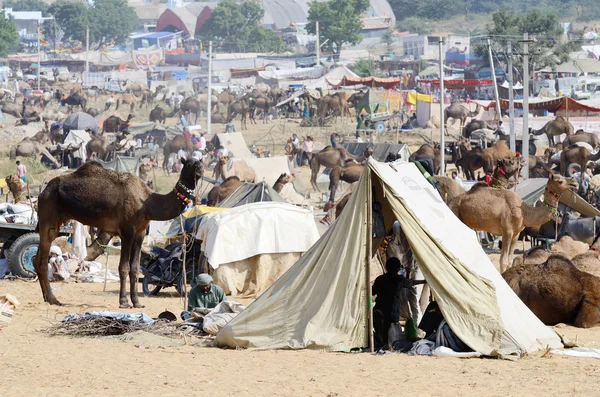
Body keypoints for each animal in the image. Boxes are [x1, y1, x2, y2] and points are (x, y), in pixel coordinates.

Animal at [34, 158, 205, 306]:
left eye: (200, 160)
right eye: (189, 163)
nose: (200, 168)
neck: (147, 203)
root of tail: (42, 192)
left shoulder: (140, 232)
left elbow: (135, 268)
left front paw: (137, 302)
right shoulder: (127, 230)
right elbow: (124, 267)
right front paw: (124, 302)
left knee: (37, 260)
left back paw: (47, 298)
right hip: (48, 217)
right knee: (42, 260)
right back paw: (53, 299)